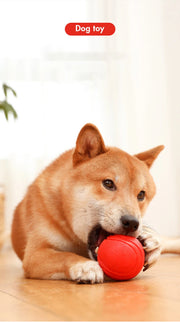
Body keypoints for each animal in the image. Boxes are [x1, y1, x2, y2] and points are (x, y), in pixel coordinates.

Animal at [11, 124, 180, 284]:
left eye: (141, 194)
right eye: (108, 183)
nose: (132, 223)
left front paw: (152, 243)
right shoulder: (34, 254)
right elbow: (65, 256)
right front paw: (84, 266)